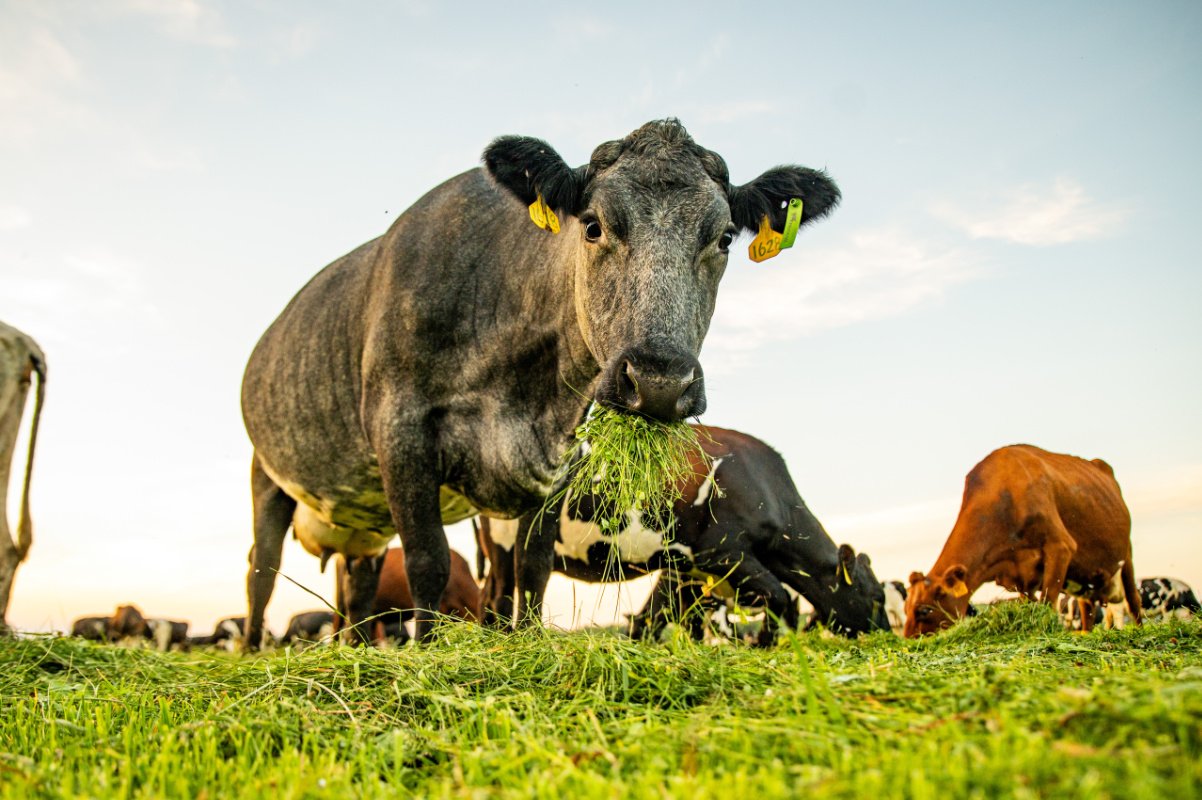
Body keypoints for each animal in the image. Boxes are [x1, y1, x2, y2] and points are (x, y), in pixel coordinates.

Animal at [241, 119, 841, 646]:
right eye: (593, 224)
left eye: (724, 238)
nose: (659, 381)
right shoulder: (400, 427)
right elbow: (428, 561)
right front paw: (426, 653)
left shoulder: (557, 456)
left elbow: (534, 566)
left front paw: (526, 640)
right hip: (266, 474)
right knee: (260, 571)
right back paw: (252, 649)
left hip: (364, 520)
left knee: (357, 583)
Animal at [479, 425, 888, 646]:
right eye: (877, 597)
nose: (886, 633)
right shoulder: (723, 553)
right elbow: (781, 597)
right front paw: (764, 644)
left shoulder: (686, 569)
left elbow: (662, 616)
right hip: (512, 536)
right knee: (515, 588)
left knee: (492, 594)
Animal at [905, 444, 1142, 637]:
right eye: (905, 608)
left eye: (924, 610)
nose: (909, 640)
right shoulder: (1018, 575)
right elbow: (1032, 603)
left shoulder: (1060, 547)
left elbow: (1047, 601)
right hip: (1086, 579)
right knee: (1088, 611)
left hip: (1127, 556)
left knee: (1134, 601)